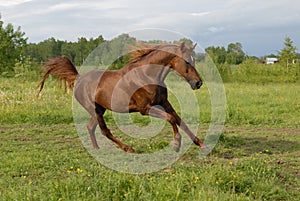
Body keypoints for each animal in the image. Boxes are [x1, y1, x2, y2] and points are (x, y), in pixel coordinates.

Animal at [38, 42, 207, 152]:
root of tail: (79, 78)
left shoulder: (164, 102)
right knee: (104, 131)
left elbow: (180, 120)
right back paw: (128, 148)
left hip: (101, 109)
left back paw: (97, 148)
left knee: (90, 127)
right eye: (187, 61)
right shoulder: (145, 109)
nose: (198, 83)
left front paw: (201, 145)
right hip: (95, 110)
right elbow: (171, 119)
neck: (146, 75)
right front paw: (177, 144)